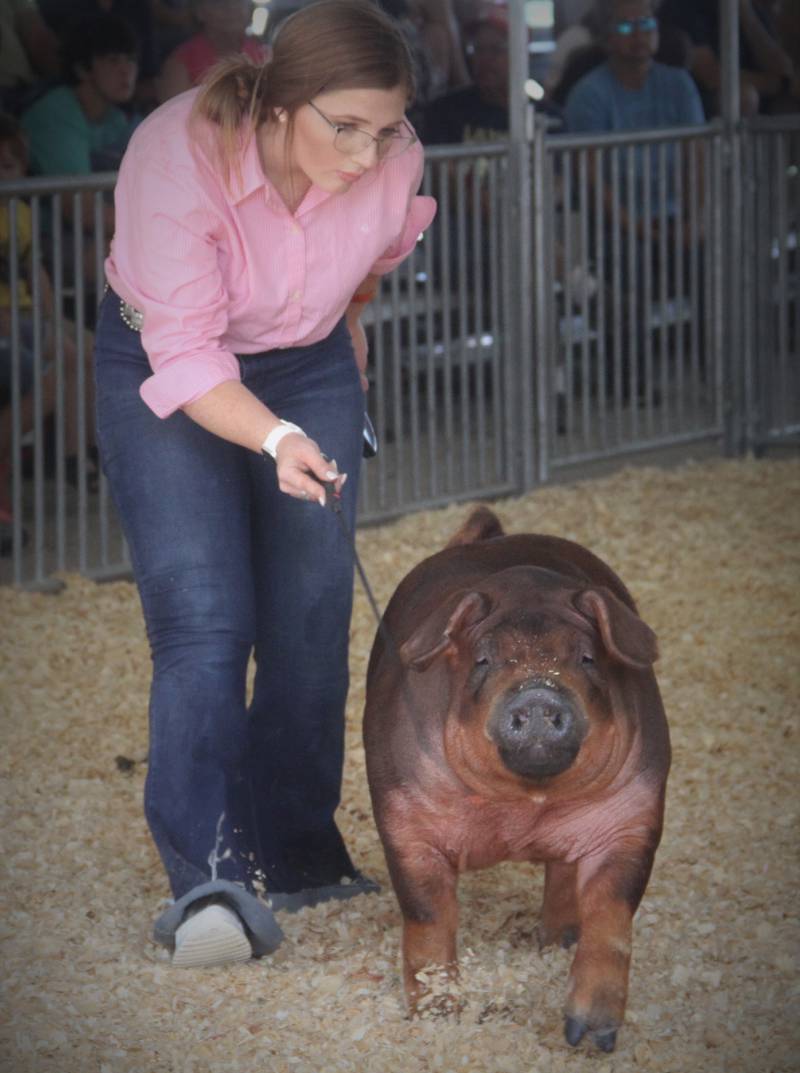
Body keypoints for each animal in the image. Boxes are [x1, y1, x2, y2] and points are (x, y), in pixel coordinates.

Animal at [362, 506, 664, 1051]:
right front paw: (438, 1017)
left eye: (586, 657)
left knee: (564, 874)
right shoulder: (405, 819)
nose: (539, 695)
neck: (524, 806)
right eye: (484, 659)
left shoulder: (634, 814)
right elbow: (428, 915)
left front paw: (590, 1039)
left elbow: (612, 912)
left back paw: (557, 942)